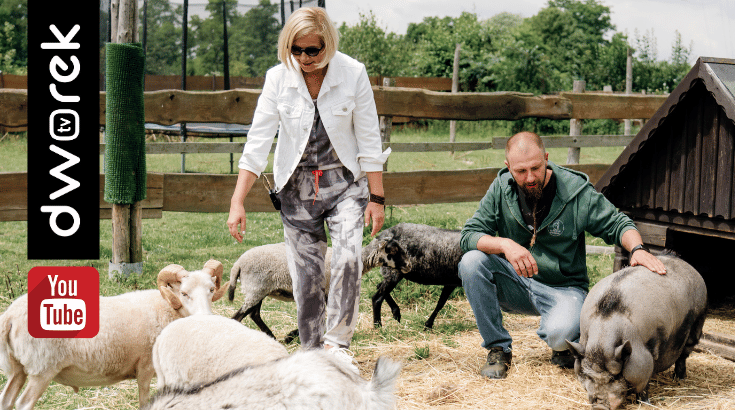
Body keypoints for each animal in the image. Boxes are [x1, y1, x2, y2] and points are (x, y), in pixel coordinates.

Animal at [0, 262, 227, 408]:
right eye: (184, 293)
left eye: (211, 289)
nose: (206, 319)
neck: (167, 309)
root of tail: (10, 315)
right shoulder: (146, 367)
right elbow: (145, 402)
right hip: (43, 368)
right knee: (23, 404)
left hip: (19, 368)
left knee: (6, 400)